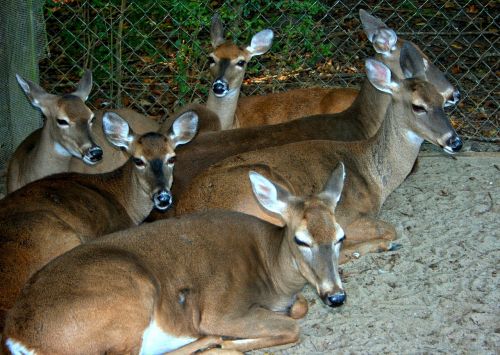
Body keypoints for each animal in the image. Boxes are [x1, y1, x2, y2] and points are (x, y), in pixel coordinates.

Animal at [2, 163, 372, 354]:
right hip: (130, 293)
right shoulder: (222, 308)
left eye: (340, 236)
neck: (271, 270)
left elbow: (298, 310)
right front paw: (230, 342)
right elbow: (292, 327)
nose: (336, 297)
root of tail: (18, 338)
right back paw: (211, 341)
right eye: (301, 240)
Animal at [171, 42, 460, 258]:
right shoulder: (346, 213)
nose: (454, 140)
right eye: (418, 106)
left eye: (440, 101)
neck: (374, 174)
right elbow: (390, 228)